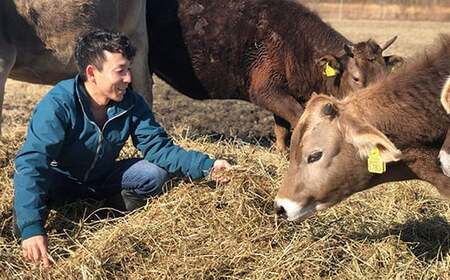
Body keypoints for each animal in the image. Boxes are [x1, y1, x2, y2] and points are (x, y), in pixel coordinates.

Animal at [149, 0, 400, 151]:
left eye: (386, 75)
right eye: (356, 78)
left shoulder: (283, 93)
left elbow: (282, 128)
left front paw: (281, 152)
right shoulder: (265, 90)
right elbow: (298, 118)